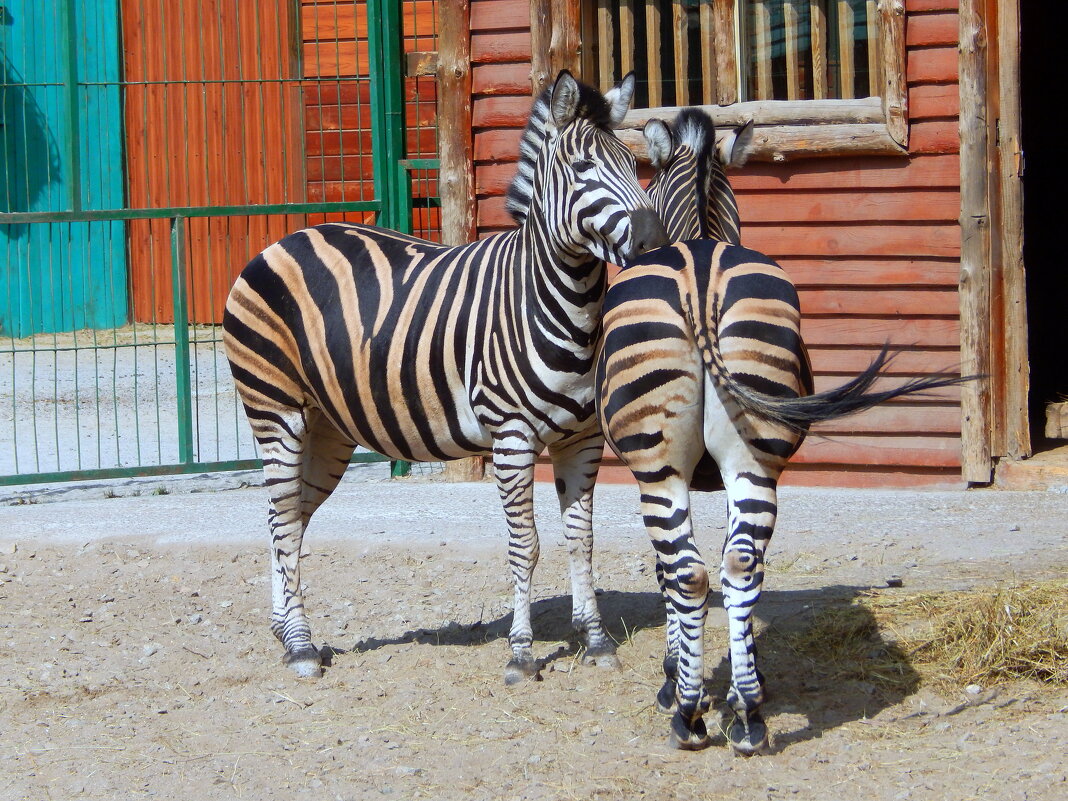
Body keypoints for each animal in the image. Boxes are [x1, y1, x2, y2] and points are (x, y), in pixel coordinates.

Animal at [223, 70, 666, 683]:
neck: (560, 304)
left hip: (327, 428)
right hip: (276, 411)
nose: (653, 240)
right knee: (285, 521)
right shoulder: (511, 436)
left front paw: (596, 641)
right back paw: (302, 648)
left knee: (282, 518)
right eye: (582, 167)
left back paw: (284, 630)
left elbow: (582, 540)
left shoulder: (582, 438)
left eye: (630, 161)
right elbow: (525, 545)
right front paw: (521, 653)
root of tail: (284, 239)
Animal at [598, 110, 974, 756]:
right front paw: (742, 675)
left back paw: (689, 714)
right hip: (756, 459)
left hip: (659, 467)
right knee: (741, 565)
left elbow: (667, 575)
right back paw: (748, 713)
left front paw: (676, 679)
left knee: (690, 572)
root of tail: (700, 273)